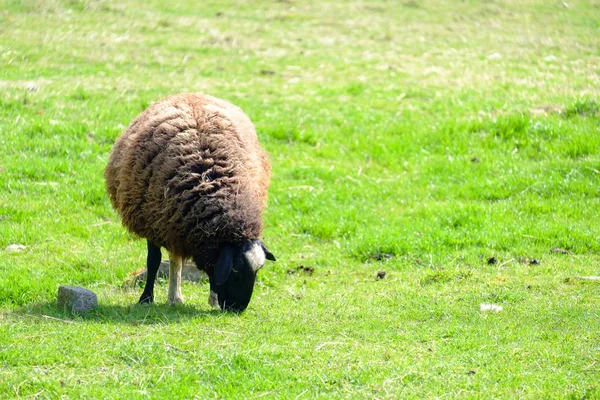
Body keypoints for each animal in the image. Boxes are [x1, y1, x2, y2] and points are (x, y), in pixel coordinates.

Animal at [105, 93, 276, 312]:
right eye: (236, 270)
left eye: (258, 270)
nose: (238, 309)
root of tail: (189, 94)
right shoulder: (153, 222)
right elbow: (153, 262)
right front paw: (146, 298)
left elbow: (212, 270)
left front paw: (213, 298)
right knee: (174, 259)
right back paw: (174, 296)